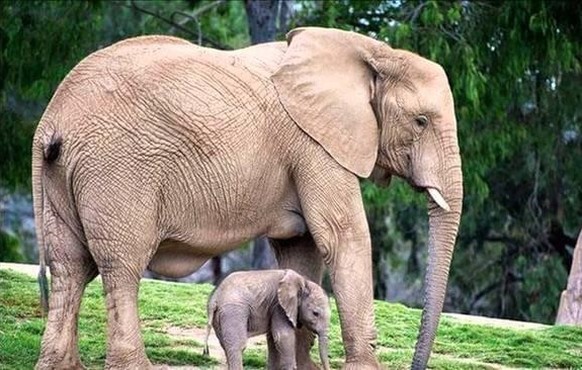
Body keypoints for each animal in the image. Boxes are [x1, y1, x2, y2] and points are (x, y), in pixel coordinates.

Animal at [204, 268, 334, 370]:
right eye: (315, 313)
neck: (303, 281)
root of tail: (215, 297)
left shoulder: (273, 308)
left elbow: (273, 339)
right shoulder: (279, 306)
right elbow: (283, 337)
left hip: (219, 316)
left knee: (225, 345)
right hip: (233, 311)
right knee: (238, 346)